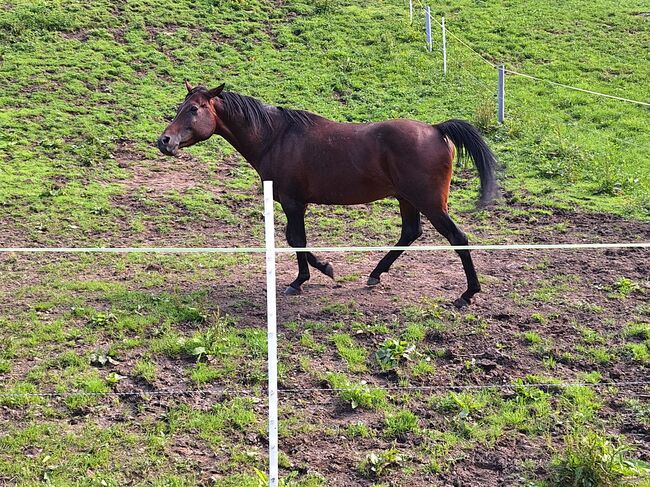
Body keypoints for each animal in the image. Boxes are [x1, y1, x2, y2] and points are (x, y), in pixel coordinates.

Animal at [157, 81, 496, 306]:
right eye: (180, 107)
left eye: (194, 109)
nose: (164, 141)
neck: (275, 137)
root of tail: (437, 129)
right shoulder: (296, 203)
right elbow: (296, 240)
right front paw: (317, 273)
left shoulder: (293, 202)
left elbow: (296, 240)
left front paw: (305, 279)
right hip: (407, 199)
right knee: (411, 232)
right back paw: (375, 274)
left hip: (429, 202)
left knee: (458, 238)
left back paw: (468, 294)